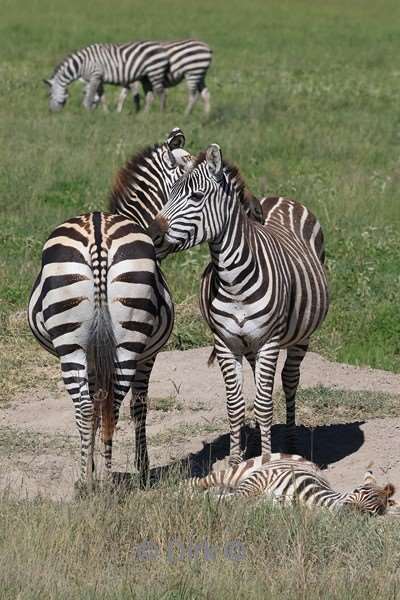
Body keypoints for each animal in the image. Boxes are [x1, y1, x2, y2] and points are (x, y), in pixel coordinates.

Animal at [28, 129, 191, 490]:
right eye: (189, 180)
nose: (159, 238)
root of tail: (99, 237)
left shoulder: (95, 352)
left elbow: (96, 401)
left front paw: (89, 466)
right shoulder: (148, 354)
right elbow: (139, 406)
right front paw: (142, 468)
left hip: (73, 343)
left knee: (89, 406)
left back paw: (89, 481)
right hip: (127, 344)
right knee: (111, 405)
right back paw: (104, 479)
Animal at [148, 144, 330, 464]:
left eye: (196, 197)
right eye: (168, 195)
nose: (152, 234)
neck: (234, 282)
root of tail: (280, 198)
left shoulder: (269, 341)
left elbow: (265, 404)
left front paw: (267, 461)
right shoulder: (225, 342)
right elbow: (235, 404)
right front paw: (235, 462)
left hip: (301, 334)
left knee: (289, 379)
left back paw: (290, 445)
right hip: (251, 345)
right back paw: (256, 442)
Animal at [189, 454, 396, 516]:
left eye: (373, 511)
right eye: (357, 490)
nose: (348, 512)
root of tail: (300, 457)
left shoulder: (272, 506)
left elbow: (232, 501)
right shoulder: (261, 479)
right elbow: (231, 498)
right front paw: (197, 502)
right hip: (240, 472)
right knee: (199, 482)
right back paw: (182, 491)